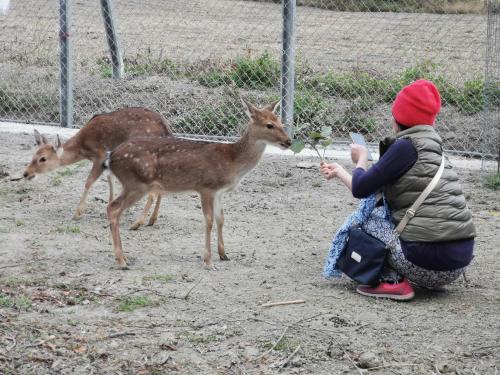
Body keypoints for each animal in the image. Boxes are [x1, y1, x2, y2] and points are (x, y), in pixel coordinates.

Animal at [23, 106, 172, 225]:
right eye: (34, 155)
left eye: (43, 159)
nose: (26, 173)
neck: (83, 148)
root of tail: (166, 129)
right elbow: (110, 181)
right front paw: (110, 207)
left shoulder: (100, 156)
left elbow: (89, 182)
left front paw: (77, 214)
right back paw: (152, 219)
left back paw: (139, 222)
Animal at [105, 99, 292, 270]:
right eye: (269, 125)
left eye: (280, 122)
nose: (288, 141)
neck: (232, 161)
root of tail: (111, 157)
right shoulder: (206, 187)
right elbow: (208, 221)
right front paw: (208, 261)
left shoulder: (219, 192)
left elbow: (221, 219)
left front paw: (224, 254)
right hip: (136, 183)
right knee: (113, 207)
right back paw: (121, 261)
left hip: (134, 184)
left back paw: (124, 258)